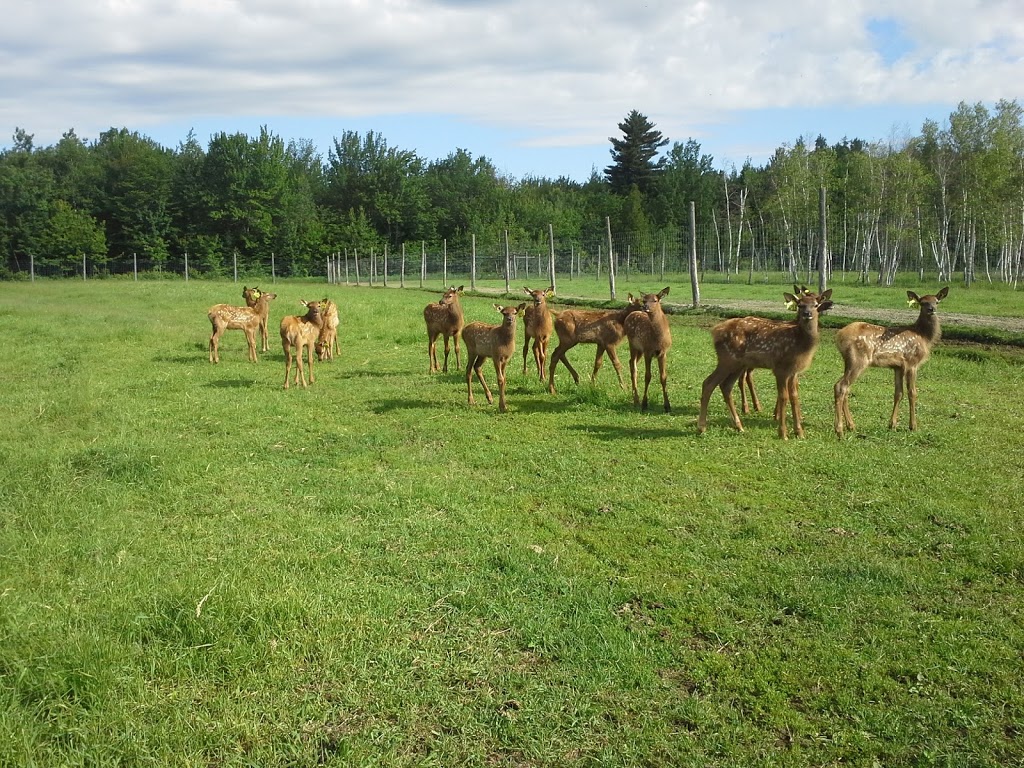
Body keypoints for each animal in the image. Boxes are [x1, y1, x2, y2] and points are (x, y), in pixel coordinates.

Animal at [700, 288, 835, 442]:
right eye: (800, 305)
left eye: (816, 305)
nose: (807, 314)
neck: (800, 343)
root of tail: (715, 330)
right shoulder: (780, 368)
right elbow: (784, 396)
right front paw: (783, 433)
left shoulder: (793, 371)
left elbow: (794, 397)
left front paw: (799, 432)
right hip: (727, 359)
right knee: (708, 383)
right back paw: (702, 427)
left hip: (737, 364)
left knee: (726, 386)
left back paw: (739, 427)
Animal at [831, 286, 950, 436]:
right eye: (922, 302)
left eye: (937, 301)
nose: (931, 309)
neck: (924, 336)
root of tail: (839, 336)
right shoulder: (912, 362)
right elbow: (912, 393)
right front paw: (913, 426)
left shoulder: (898, 366)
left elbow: (898, 393)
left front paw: (892, 424)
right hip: (858, 360)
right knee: (841, 386)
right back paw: (839, 429)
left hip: (849, 361)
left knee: (845, 388)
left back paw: (851, 426)